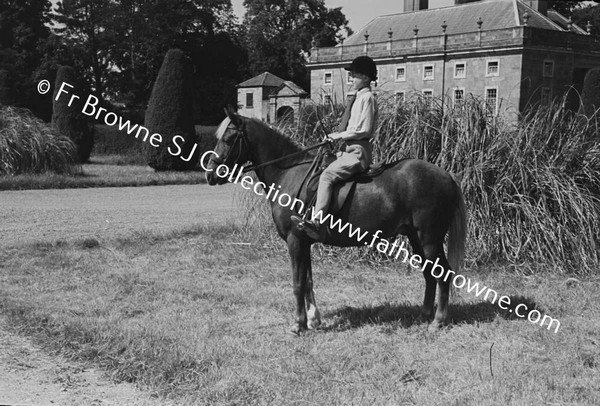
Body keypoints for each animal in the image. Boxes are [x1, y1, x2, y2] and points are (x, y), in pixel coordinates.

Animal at [206, 106, 468, 334]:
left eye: (228, 139)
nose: (210, 174)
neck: (289, 172)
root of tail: (446, 175)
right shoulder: (304, 242)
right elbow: (308, 280)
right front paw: (313, 320)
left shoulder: (294, 240)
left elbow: (298, 282)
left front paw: (298, 324)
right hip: (416, 238)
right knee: (430, 273)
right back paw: (425, 314)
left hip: (429, 239)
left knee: (443, 273)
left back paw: (438, 320)